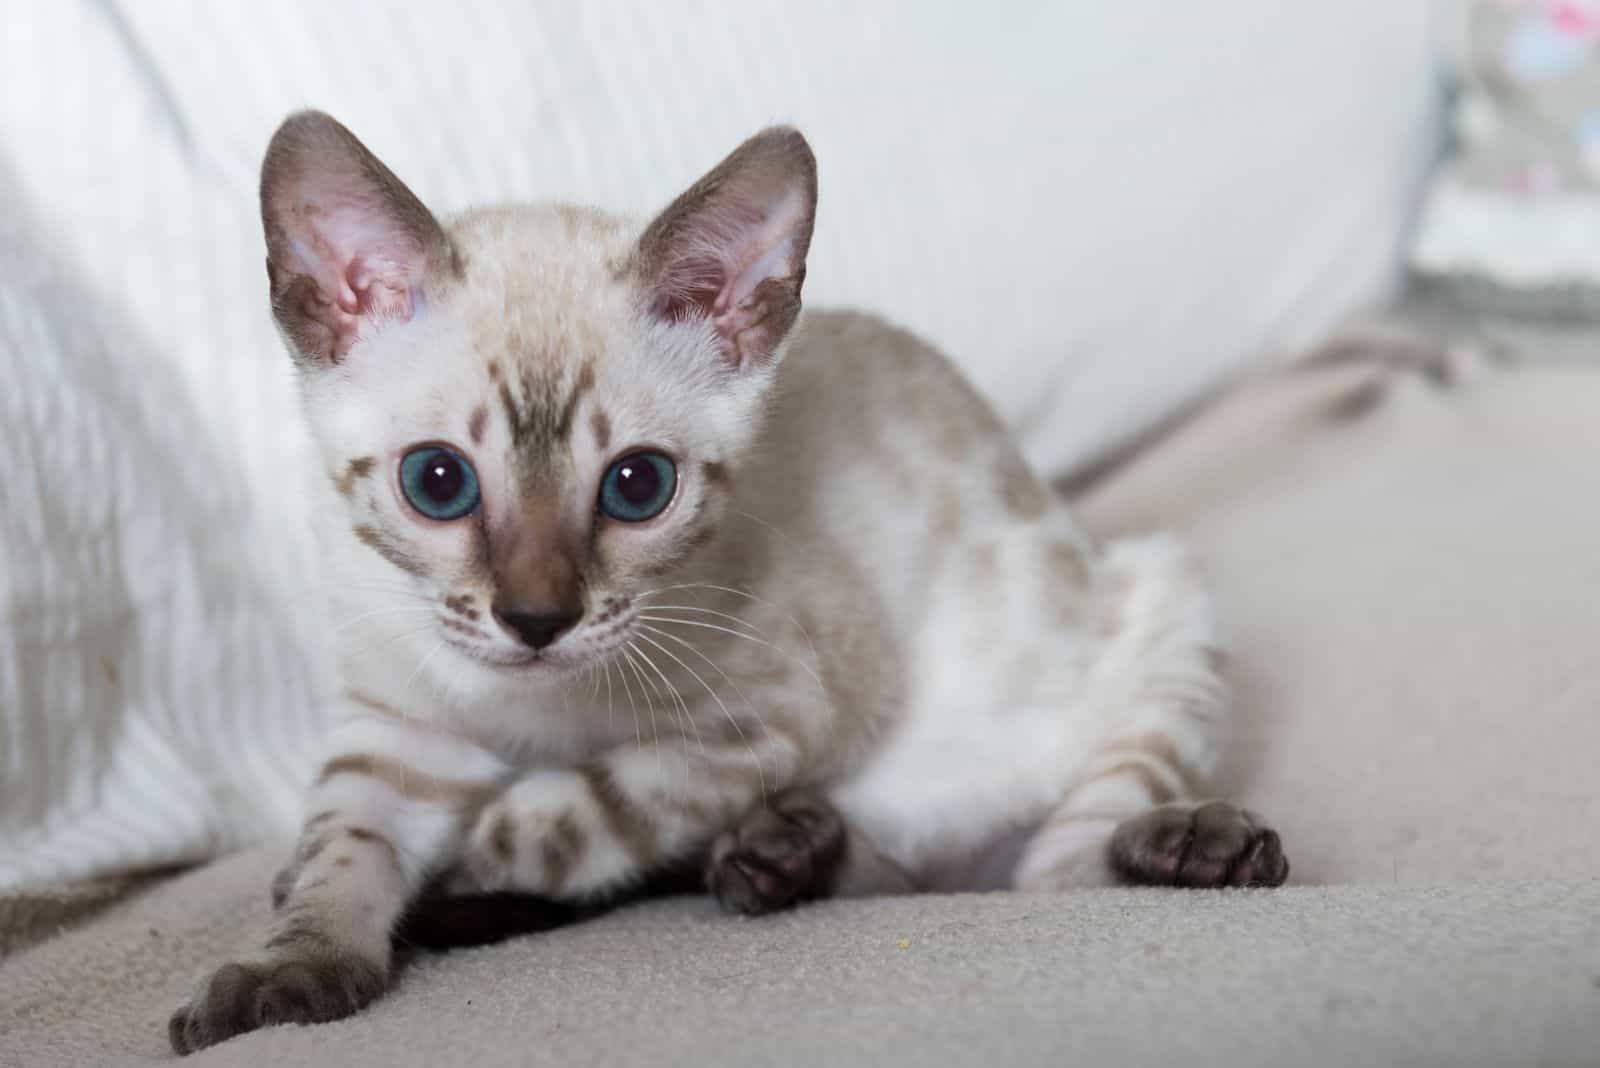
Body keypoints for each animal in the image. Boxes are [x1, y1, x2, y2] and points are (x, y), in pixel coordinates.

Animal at [168, 110, 1286, 1048]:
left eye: (637, 486)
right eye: (437, 483)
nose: (535, 618)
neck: (522, 707)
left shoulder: (772, 718)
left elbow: (577, 811)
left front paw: (463, 858)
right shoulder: (400, 730)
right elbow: (343, 847)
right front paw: (291, 970)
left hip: (1164, 597)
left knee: (1063, 872)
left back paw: (1196, 848)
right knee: (893, 872)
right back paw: (783, 854)